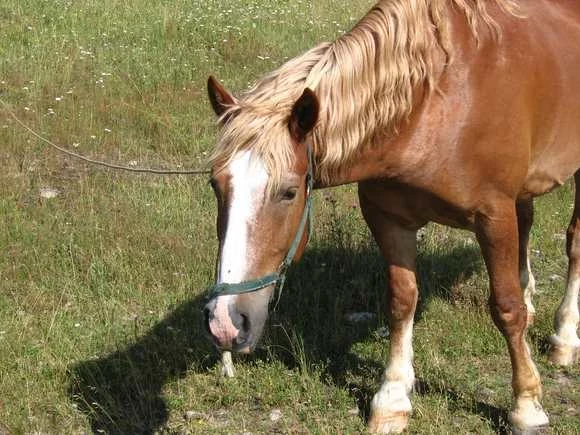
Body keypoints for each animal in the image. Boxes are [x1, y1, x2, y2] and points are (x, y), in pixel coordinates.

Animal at [201, 0, 580, 432]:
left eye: (288, 192)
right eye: (215, 184)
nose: (225, 322)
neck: (434, 105)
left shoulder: (493, 216)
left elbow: (506, 307)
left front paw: (526, 404)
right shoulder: (387, 218)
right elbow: (401, 301)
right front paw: (392, 398)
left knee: (573, 243)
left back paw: (565, 337)